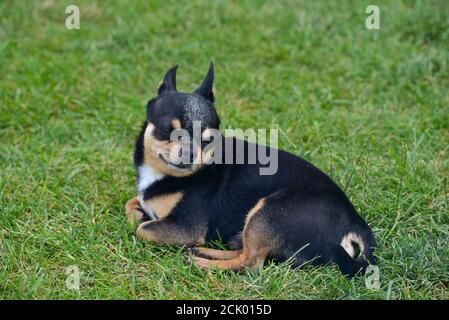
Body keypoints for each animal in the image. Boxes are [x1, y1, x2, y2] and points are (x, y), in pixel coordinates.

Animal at [125, 63, 374, 278]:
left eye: (207, 140)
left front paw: (141, 219)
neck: (165, 175)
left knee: (250, 263)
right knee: (245, 250)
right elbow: (132, 203)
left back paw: (202, 262)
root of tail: (354, 222)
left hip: (268, 213)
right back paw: (208, 252)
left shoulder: (187, 228)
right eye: (169, 131)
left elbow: (142, 228)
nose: (189, 154)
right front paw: (137, 212)